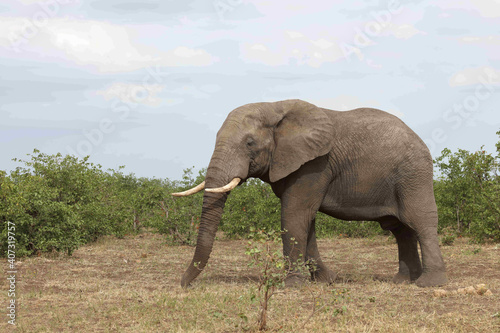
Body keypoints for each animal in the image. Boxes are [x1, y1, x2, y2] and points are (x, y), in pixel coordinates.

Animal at [174, 99, 448, 288]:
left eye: (249, 143)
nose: (184, 285)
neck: (275, 107)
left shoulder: (315, 164)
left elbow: (294, 214)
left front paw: (293, 286)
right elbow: (307, 220)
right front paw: (327, 281)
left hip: (413, 174)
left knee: (419, 220)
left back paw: (428, 283)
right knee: (400, 229)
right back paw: (403, 281)